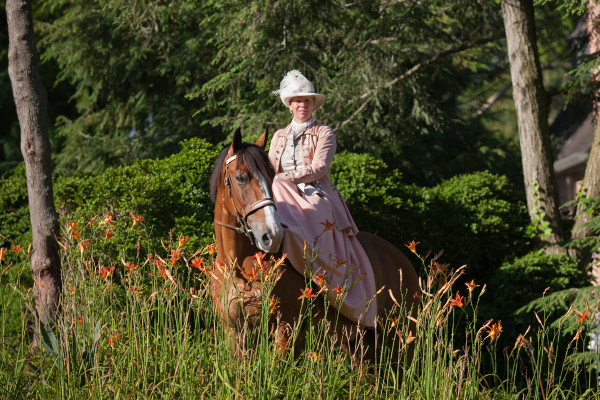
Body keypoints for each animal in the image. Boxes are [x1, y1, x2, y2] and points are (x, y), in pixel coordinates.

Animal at [209, 128, 420, 362]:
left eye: (271, 179)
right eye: (241, 178)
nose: (272, 236)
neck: (238, 265)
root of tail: (402, 260)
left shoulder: (286, 327)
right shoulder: (235, 331)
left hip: (400, 340)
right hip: (358, 344)